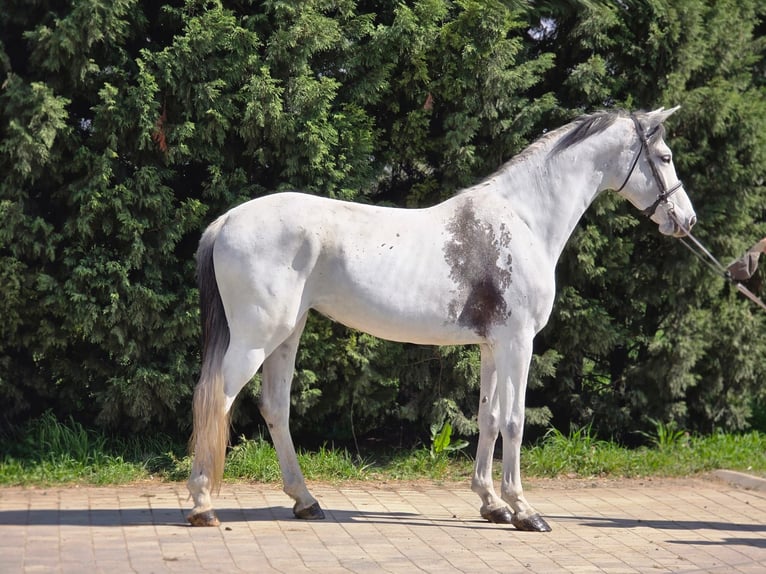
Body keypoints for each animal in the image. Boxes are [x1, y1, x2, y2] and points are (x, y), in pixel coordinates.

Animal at [186, 107, 697, 532]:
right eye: (665, 157)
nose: (686, 220)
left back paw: (306, 501)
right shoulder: (518, 343)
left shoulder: (493, 346)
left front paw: (491, 504)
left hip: (287, 335)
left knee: (275, 408)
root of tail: (225, 222)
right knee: (215, 400)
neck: (524, 219)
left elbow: (489, 417)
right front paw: (524, 510)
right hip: (255, 339)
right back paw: (203, 505)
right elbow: (515, 421)